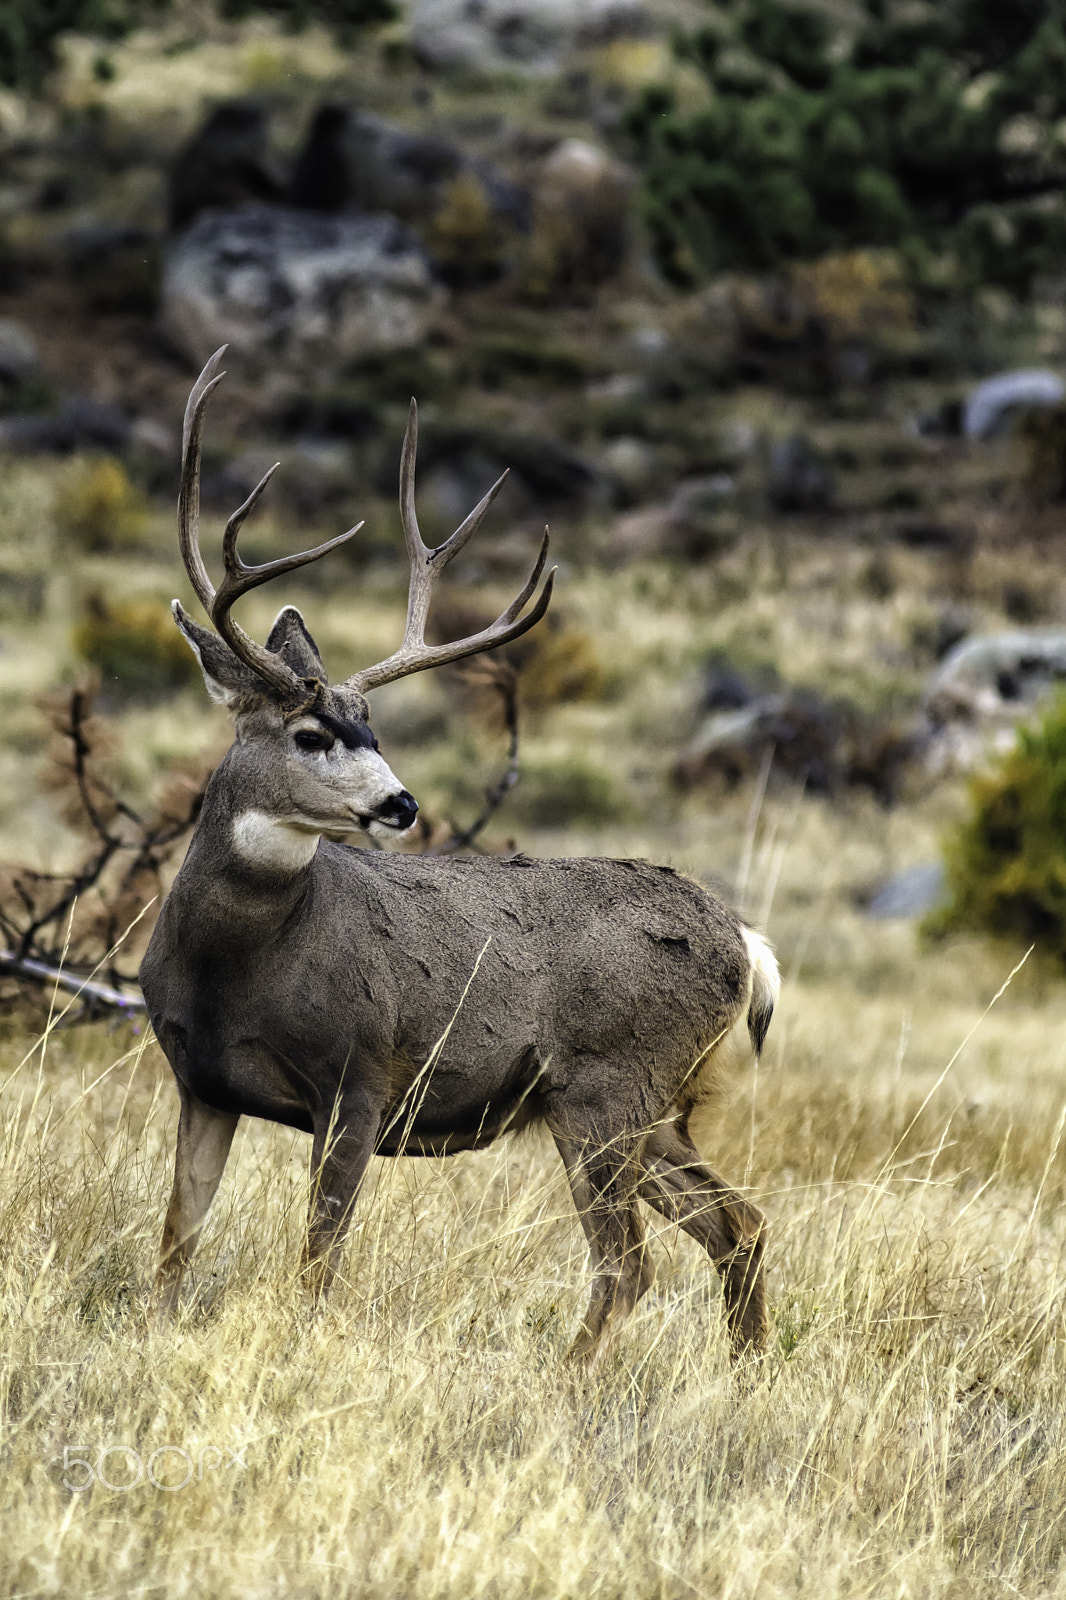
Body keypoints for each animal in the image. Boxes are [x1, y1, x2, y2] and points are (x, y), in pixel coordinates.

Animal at [140, 347, 780, 1364]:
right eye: (313, 732)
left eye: (374, 729)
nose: (400, 804)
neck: (238, 963)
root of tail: (747, 944)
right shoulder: (200, 1081)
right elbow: (175, 1245)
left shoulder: (360, 1078)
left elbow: (317, 1260)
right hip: (647, 1106)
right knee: (738, 1226)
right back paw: (744, 1374)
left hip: (608, 1087)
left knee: (628, 1263)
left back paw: (570, 1382)